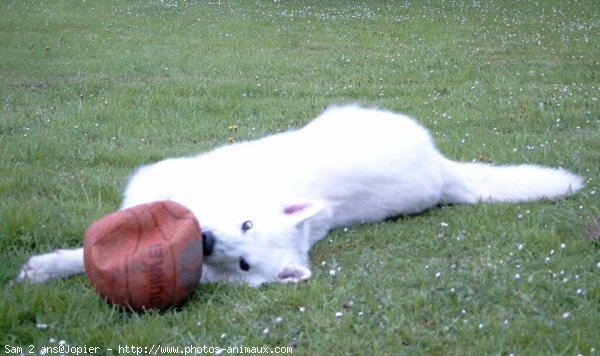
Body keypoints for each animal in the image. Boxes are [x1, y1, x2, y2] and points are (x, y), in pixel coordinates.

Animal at [17, 105, 580, 286]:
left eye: (246, 262)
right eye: (245, 225)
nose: (204, 242)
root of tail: (444, 171)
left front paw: (50, 267)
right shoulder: (160, 178)